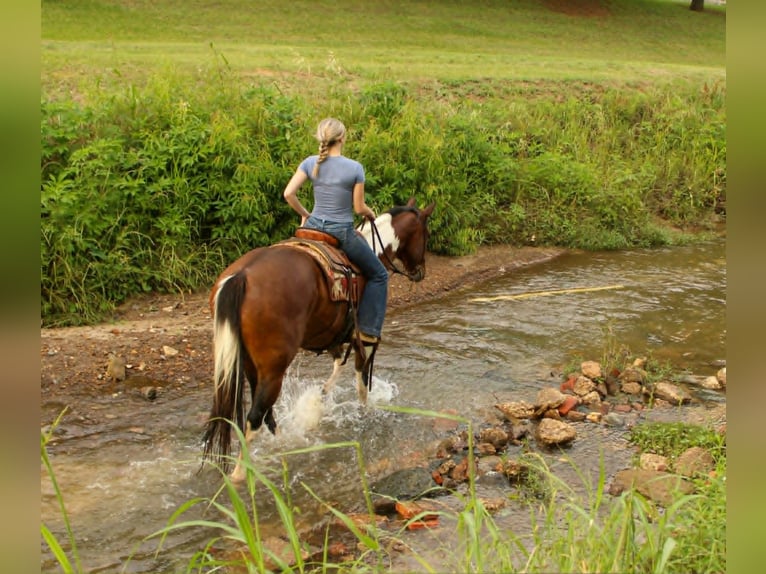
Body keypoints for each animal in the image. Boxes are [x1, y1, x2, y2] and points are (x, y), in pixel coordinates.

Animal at [202, 197, 436, 480]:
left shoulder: (334, 336)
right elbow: (361, 383)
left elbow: (337, 367)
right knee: (256, 416)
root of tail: (241, 276)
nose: (420, 272)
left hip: (249, 364)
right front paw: (366, 415)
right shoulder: (364, 340)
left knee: (265, 413)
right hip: (274, 368)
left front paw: (320, 398)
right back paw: (239, 474)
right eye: (426, 234)